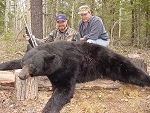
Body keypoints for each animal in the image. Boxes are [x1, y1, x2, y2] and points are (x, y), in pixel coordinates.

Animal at [17, 40, 149, 113]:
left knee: (131, 70)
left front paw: (47, 109)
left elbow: (64, 89)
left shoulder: (68, 65)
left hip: (112, 61)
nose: (21, 76)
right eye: (23, 63)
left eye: (32, 66)